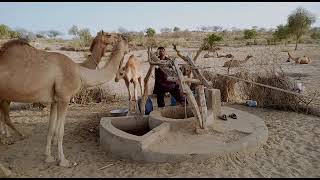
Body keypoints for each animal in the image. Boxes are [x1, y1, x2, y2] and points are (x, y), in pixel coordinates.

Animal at [0, 34, 128, 167]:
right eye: (109, 35)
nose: (128, 48)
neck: (80, 71)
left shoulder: (55, 100)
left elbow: (51, 128)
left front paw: (48, 157)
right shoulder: (64, 98)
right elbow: (60, 131)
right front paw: (63, 161)